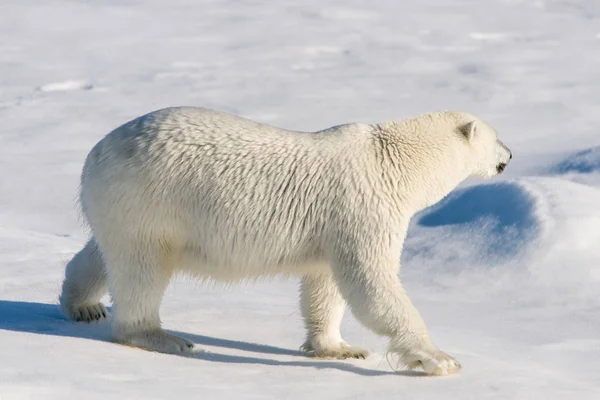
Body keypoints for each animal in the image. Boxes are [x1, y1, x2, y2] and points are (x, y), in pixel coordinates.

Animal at [59, 106, 510, 376]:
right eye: (496, 137)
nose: (509, 155)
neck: (395, 162)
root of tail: (95, 153)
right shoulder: (364, 206)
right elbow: (372, 284)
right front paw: (440, 359)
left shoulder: (332, 226)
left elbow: (325, 285)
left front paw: (339, 348)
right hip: (149, 200)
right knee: (143, 269)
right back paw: (161, 337)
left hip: (123, 206)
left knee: (103, 254)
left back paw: (83, 304)